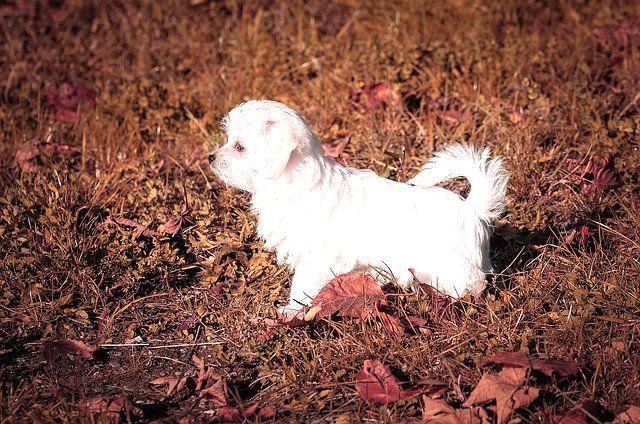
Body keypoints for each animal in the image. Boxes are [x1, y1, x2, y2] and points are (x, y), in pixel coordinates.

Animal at [210, 100, 510, 314]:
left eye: (239, 147)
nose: (211, 157)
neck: (293, 182)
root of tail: (473, 209)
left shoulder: (316, 257)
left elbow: (302, 284)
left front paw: (291, 311)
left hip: (450, 265)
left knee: (473, 284)